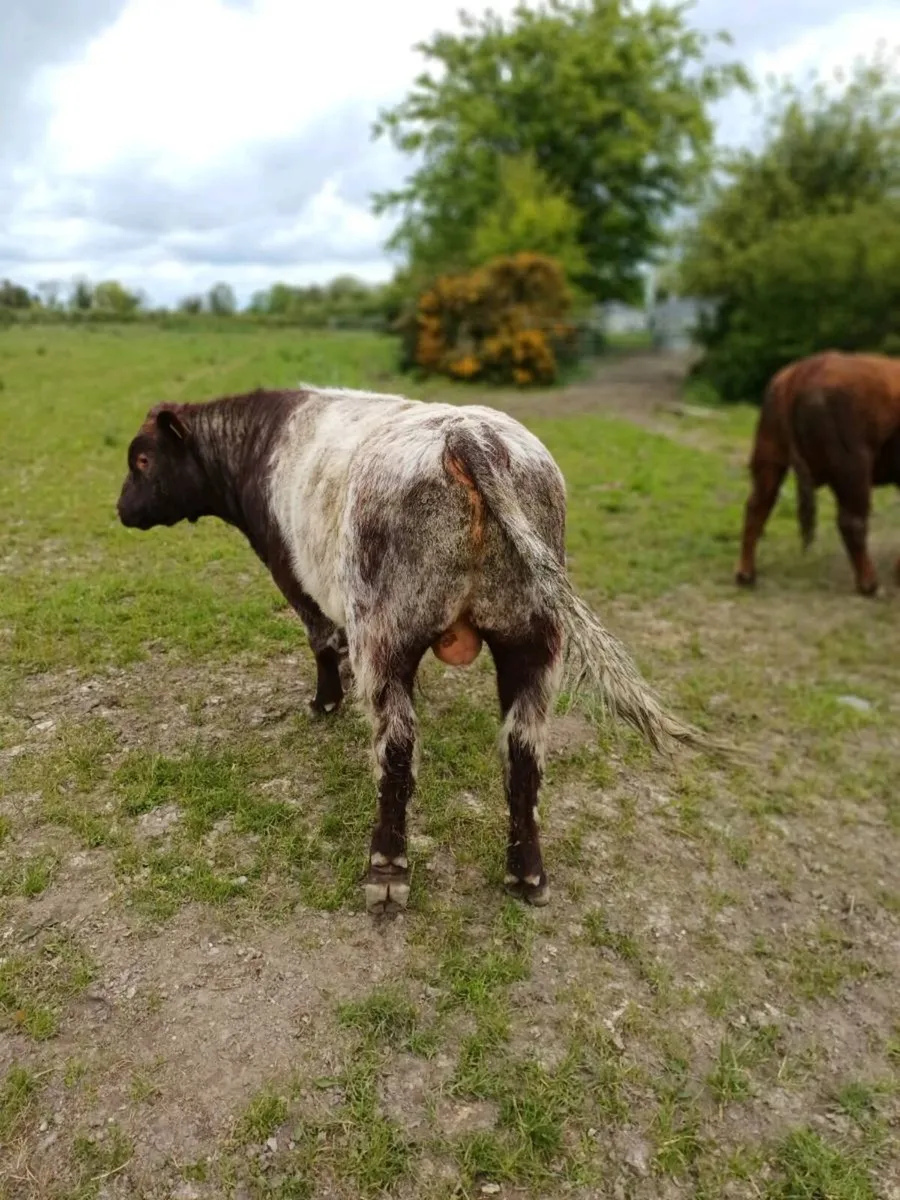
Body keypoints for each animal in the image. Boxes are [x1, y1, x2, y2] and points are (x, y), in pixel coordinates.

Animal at [117, 384, 713, 914]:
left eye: (143, 459)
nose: (121, 510)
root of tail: (467, 436)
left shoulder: (299, 583)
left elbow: (322, 643)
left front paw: (325, 702)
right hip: (535, 639)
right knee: (523, 749)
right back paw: (527, 873)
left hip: (387, 638)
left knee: (397, 748)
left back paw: (387, 871)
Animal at [736, 351, 900, 595]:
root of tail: (806, 368)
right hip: (855, 468)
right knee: (852, 521)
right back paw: (869, 584)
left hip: (769, 458)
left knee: (757, 506)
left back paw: (746, 574)